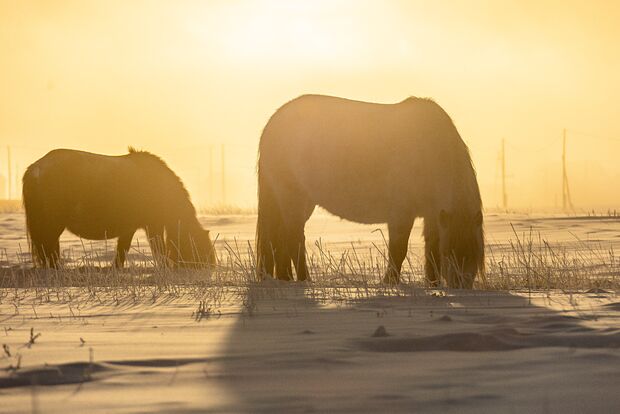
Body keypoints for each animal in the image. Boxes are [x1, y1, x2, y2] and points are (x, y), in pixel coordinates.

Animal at [23, 149, 217, 268]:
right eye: (198, 246)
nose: (210, 268)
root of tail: (35, 169)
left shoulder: (129, 228)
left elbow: (123, 249)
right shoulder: (153, 226)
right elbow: (158, 249)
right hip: (52, 223)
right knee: (49, 248)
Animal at [256, 94, 484, 288]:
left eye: (475, 250)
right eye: (450, 252)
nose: (460, 286)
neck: (431, 151)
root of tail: (273, 124)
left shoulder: (433, 215)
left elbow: (431, 250)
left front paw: (432, 284)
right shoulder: (401, 214)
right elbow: (398, 250)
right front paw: (389, 282)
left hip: (300, 201)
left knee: (279, 239)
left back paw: (284, 279)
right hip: (291, 197)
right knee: (293, 238)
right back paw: (303, 280)